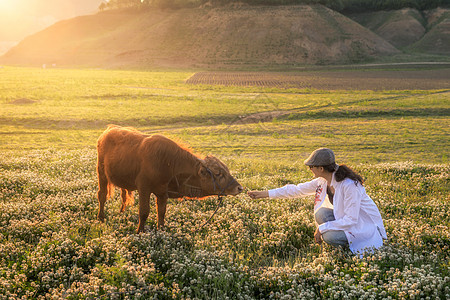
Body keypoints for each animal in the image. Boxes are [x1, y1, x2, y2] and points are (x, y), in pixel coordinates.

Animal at [95, 124, 243, 232]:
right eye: (218, 173)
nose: (239, 188)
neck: (168, 163)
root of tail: (108, 130)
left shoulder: (162, 193)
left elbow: (161, 212)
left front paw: (161, 230)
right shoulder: (144, 188)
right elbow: (144, 212)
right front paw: (139, 231)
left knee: (123, 195)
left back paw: (121, 211)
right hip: (101, 173)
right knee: (102, 195)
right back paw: (101, 217)